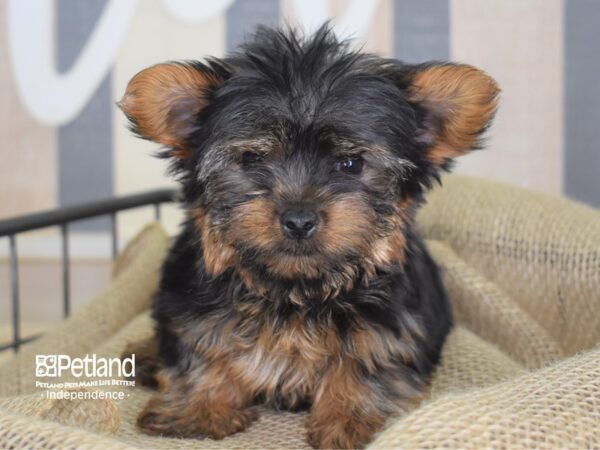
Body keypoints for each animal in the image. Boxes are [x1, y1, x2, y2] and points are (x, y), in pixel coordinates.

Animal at [119, 25, 500, 450]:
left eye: (350, 164)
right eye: (252, 159)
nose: (299, 219)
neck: (296, 292)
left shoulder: (394, 327)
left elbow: (369, 362)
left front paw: (352, 420)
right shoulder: (188, 304)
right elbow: (202, 348)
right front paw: (199, 408)